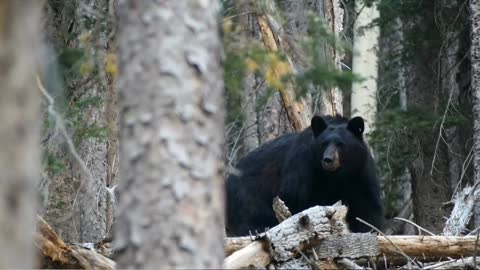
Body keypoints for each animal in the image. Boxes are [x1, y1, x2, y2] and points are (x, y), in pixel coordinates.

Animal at [224, 115, 382, 235]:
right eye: (323, 144)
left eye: (340, 144)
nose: (328, 160)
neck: (337, 176)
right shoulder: (303, 163)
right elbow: (294, 198)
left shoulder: (360, 173)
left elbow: (367, 208)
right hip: (247, 198)